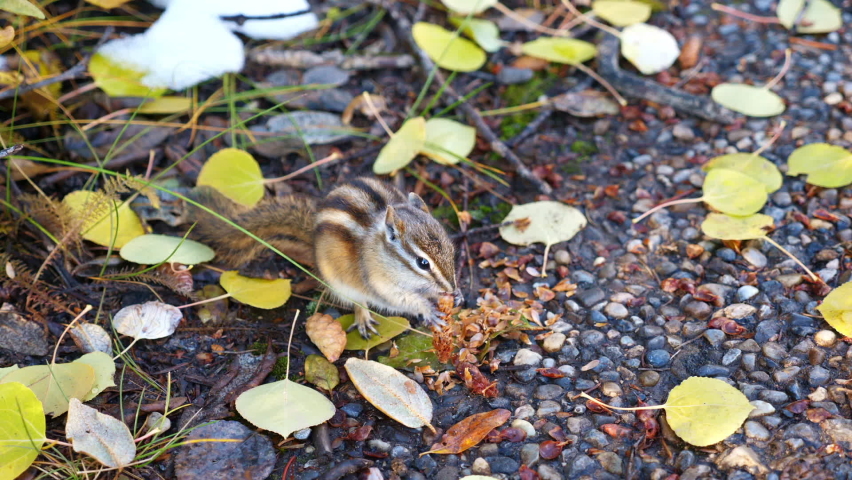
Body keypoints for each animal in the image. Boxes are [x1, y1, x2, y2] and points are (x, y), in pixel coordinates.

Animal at [187, 177, 462, 337]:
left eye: (451, 248)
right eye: (422, 263)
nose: (451, 288)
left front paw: (456, 296)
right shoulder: (381, 283)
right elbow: (400, 300)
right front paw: (428, 310)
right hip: (340, 282)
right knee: (357, 300)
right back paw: (363, 318)